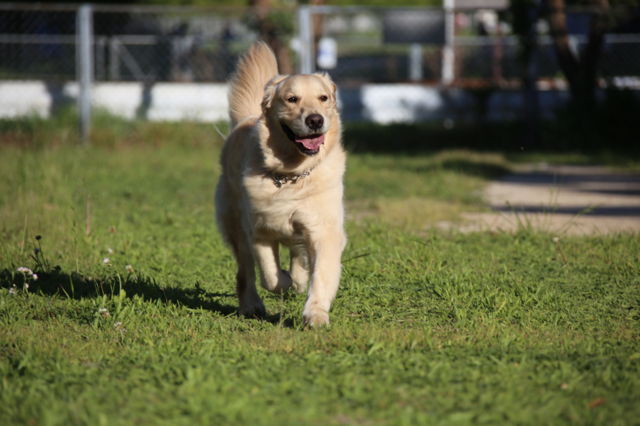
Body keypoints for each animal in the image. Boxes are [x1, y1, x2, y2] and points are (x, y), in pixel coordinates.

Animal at [215, 41, 346, 327]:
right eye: (292, 99)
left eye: (323, 98)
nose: (315, 120)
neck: (291, 174)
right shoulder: (259, 231)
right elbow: (272, 277)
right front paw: (285, 280)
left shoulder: (324, 229)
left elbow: (320, 274)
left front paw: (315, 313)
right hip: (235, 225)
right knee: (245, 272)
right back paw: (251, 305)